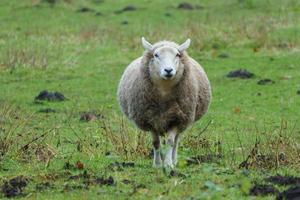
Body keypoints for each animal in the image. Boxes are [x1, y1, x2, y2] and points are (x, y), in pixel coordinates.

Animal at [117, 37, 211, 169]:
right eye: (156, 55)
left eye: (177, 55)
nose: (168, 70)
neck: (164, 91)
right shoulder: (150, 120)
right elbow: (156, 143)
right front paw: (157, 164)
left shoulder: (176, 119)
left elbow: (171, 142)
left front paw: (168, 164)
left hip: (183, 120)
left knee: (176, 141)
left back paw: (174, 160)